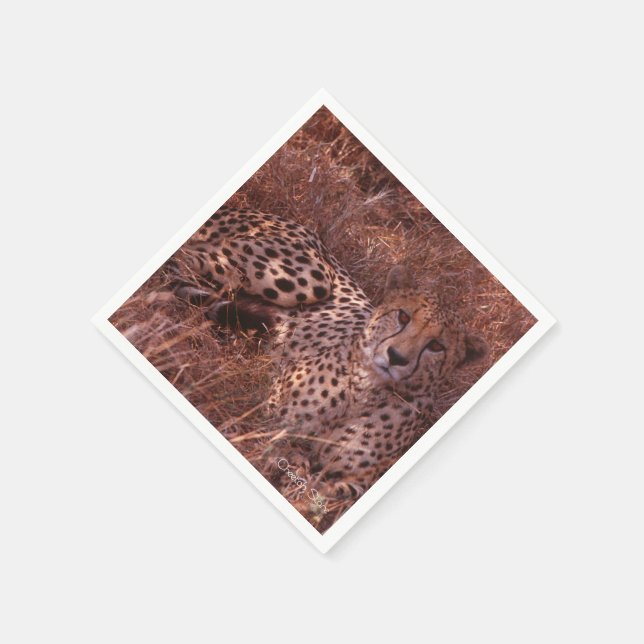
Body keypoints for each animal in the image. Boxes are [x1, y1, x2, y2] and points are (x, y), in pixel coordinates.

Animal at [171, 206, 488, 506]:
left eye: (437, 346)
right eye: (403, 316)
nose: (396, 357)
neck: (365, 392)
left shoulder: (359, 480)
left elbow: (331, 490)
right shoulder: (273, 415)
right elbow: (291, 456)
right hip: (310, 278)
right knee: (187, 256)